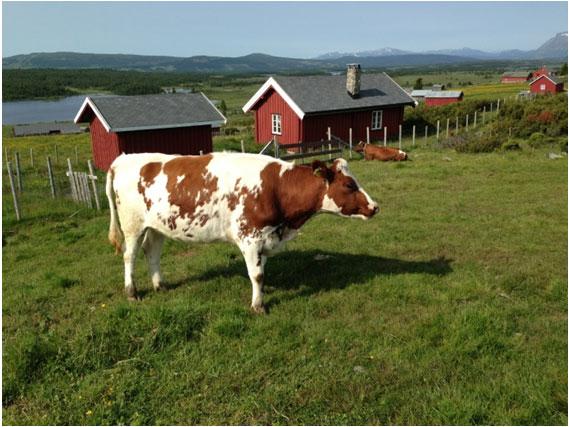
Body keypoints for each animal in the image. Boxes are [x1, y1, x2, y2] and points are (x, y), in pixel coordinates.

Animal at [106, 152, 378, 312]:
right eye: (349, 184)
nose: (375, 206)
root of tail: (122, 159)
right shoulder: (250, 237)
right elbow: (257, 274)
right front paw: (258, 305)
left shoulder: (266, 237)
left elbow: (261, 272)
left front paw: (262, 294)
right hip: (132, 224)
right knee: (130, 256)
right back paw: (132, 292)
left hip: (158, 225)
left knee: (152, 251)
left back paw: (159, 285)